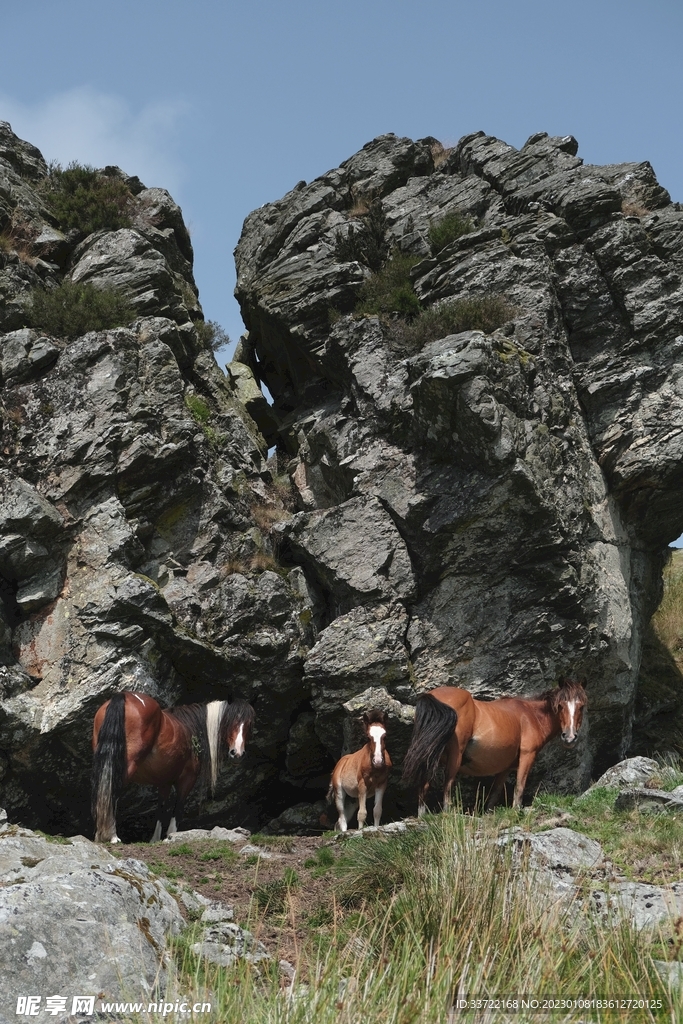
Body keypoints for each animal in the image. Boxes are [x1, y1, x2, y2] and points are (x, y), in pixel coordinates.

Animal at [91, 691, 255, 843]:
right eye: (231, 720)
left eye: (249, 724)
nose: (237, 753)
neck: (192, 729)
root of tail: (124, 696)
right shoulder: (187, 779)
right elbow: (178, 808)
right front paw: (171, 836)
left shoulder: (164, 782)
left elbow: (161, 808)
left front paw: (155, 839)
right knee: (112, 791)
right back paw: (112, 836)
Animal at [402, 678, 587, 814]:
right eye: (560, 705)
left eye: (581, 706)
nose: (569, 737)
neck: (531, 716)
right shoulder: (527, 756)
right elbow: (519, 787)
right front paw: (516, 812)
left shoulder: (505, 768)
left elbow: (495, 793)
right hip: (455, 754)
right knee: (448, 782)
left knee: (425, 782)